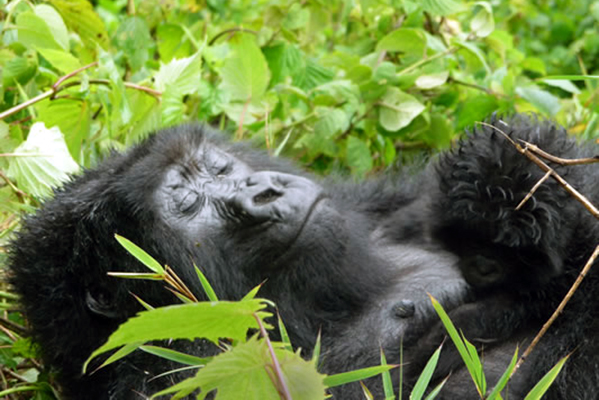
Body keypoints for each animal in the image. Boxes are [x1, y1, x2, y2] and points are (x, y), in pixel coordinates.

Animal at [7, 114, 599, 398]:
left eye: (219, 168)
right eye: (188, 203)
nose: (262, 191)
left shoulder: (382, 203)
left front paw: (521, 169)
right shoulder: (173, 377)